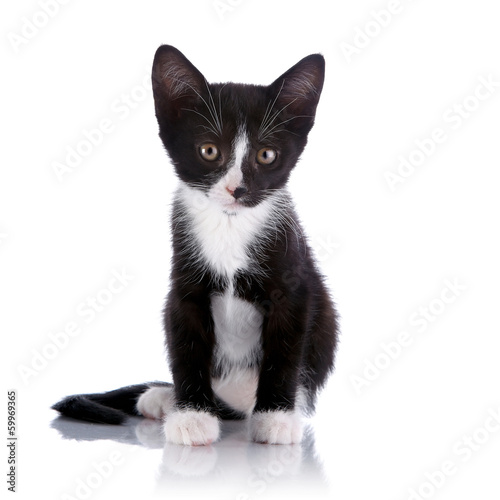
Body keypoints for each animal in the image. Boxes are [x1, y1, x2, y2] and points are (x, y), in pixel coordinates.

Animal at [51, 45, 340, 448]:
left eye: (266, 155)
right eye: (209, 151)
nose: (237, 189)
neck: (229, 226)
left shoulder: (294, 284)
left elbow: (284, 351)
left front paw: (277, 418)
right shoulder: (185, 287)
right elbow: (186, 347)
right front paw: (191, 415)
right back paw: (163, 397)